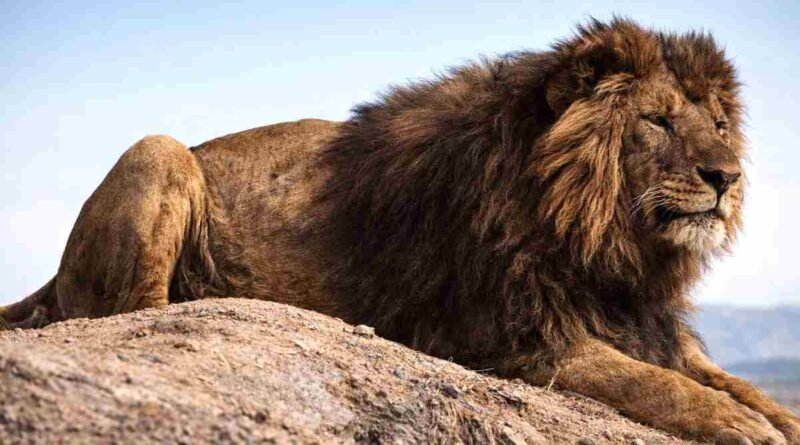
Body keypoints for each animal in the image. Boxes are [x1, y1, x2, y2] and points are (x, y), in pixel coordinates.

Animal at [2, 18, 798, 444]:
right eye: (658, 120)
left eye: (718, 123)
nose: (726, 177)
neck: (610, 245)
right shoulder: (512, 339)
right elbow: (658, 385)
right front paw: (742, 427)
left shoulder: (641, 323)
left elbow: (731, 383)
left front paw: (767, 415)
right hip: (161, 149)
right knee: (129, 311)